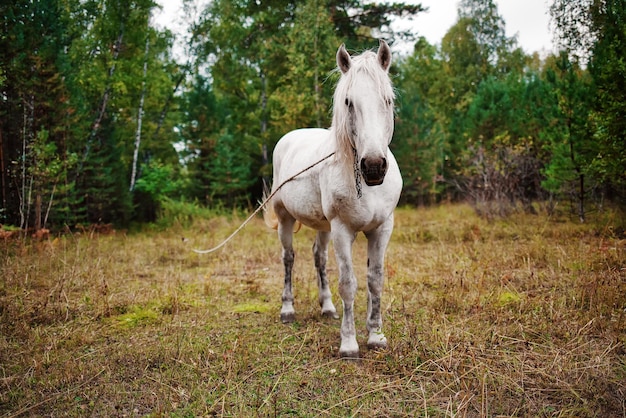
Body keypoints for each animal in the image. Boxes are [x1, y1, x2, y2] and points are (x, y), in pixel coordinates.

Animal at [262, 40, 400, 358]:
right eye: (349, 102)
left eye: (387, 101)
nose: (373, 166)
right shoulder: (342, 230)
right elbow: (348, 283)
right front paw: (349, 344)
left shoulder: (382, 228)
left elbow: (375, 281)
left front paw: (376, 335)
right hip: (286, 219)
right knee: (288, 258)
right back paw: (287, 310)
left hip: (324, 227)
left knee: (319, 257)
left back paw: (326, 307)